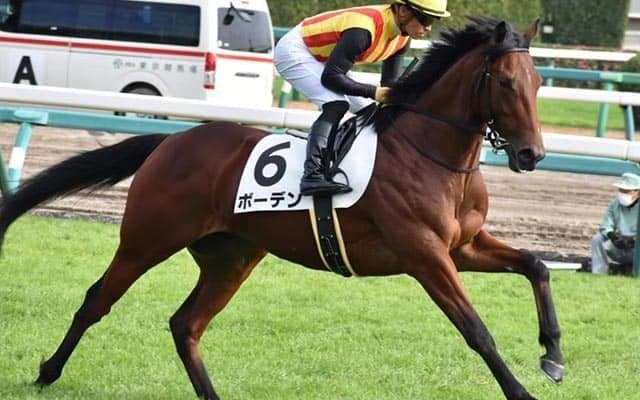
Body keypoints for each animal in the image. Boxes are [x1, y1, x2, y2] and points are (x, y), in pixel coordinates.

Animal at [0, 16, 563, 400]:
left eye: (539, 83)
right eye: (507, 82)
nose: (531, 155)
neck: (434, 155)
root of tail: (172, 140)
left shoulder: (462, 245)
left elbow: (536, 265)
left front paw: (553, 356)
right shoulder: (425, 254)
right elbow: (477, 330)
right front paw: (522, 390)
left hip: (232, 256)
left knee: (186, 325)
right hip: (148, 238)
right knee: (98, 299)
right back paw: (47, 372)